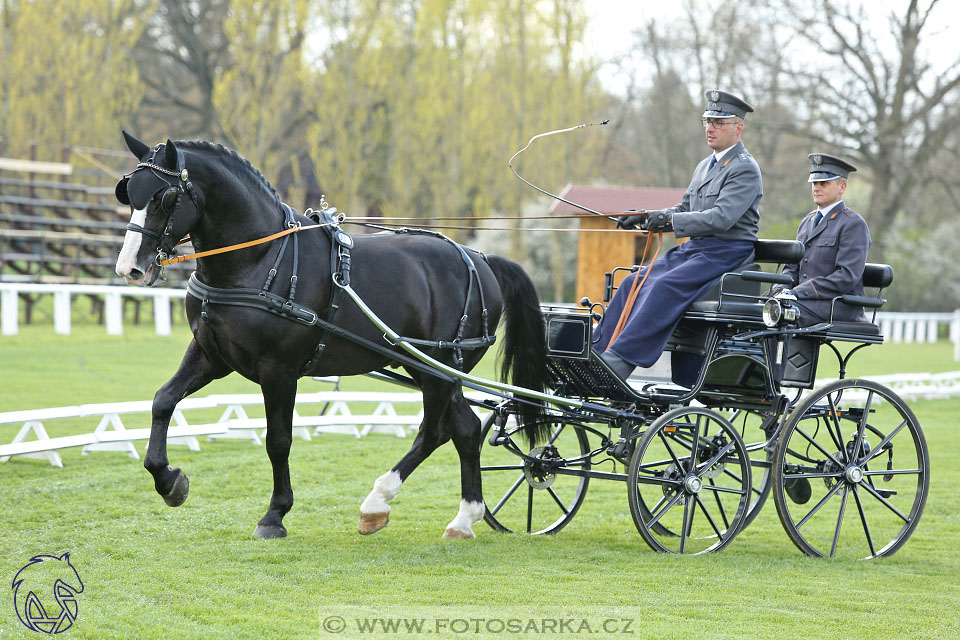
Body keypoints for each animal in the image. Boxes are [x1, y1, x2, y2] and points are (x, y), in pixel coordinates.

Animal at [112, 132, 548, 536]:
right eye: (128, 193)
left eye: (166, 198)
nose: (129, 268)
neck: (258, 260)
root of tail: (479, 257)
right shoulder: (212, 355)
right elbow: (163, 401)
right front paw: (170, 481)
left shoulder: (278, 370)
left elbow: (278, 440)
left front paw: (275, 515)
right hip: (432, 368)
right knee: (466, 429)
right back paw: (463, 517)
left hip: (438, 368)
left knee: (434, 430)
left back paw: (378, 501)